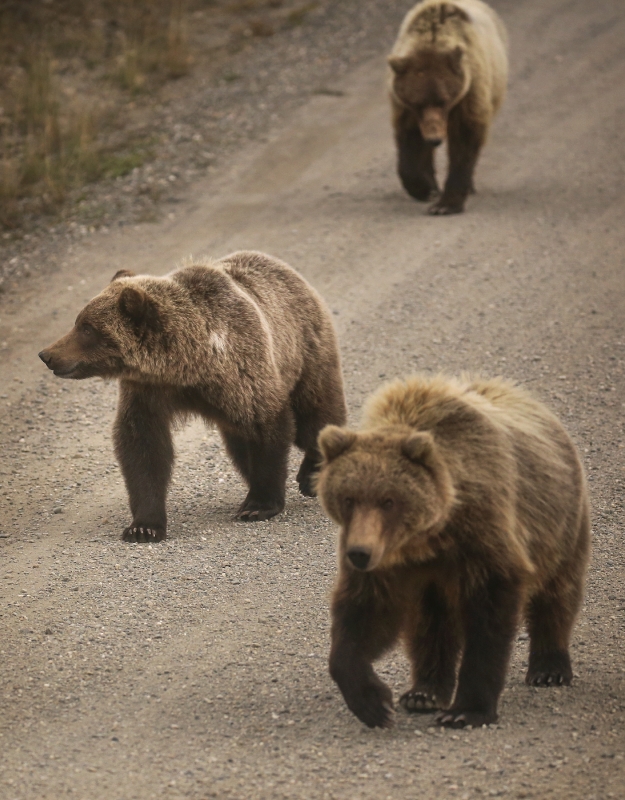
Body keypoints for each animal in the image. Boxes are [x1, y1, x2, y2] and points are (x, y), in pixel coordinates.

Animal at [39, 250, 346, 544]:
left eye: (87, 328)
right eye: (79, 322)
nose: (47, 354)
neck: (187, 365)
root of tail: (286, 269)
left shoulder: (243, 369)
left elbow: (266, 424)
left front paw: (258, 505)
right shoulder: (148, 391)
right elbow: (142, 446)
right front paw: (143, 527)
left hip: (305, 350)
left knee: (315, 413)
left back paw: (311, 473)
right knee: (240, 442)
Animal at [316, 374, 588, 724]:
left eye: (389, 500)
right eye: (348, 498)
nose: (360, 553)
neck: (428, 538)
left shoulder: (482, 538)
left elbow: (489, 619)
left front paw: (466, 710)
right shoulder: (387, 560)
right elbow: (364, 613)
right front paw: (373, 702)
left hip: (561, 523)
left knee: (557, 592)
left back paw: (549, 667)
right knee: (431, 623)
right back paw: (424, 692)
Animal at [390, 0, 508, 214]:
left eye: (444, 100)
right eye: (418, 102)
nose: (435, 139)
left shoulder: (469, 93)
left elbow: (464, 141)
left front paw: (445, 204)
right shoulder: (406, 107)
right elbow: (409, 140)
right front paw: (424, 189)